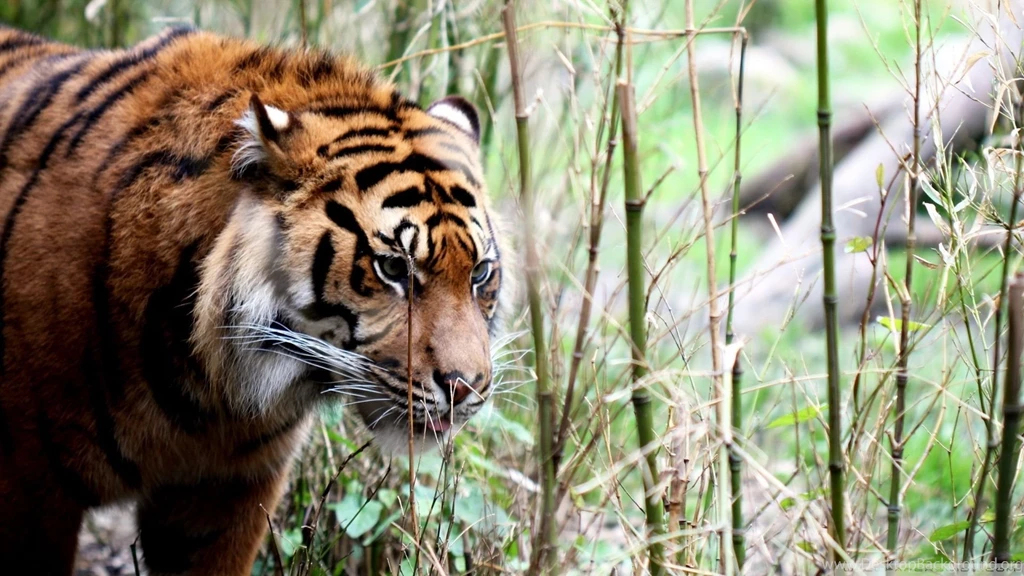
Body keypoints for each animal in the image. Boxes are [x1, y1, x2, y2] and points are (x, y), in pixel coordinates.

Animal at [0, 23, 506, 576]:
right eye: (392, 268)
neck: (206, 389)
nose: (465, 387)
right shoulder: (30, 486)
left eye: (480, 273)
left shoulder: (226, 493)